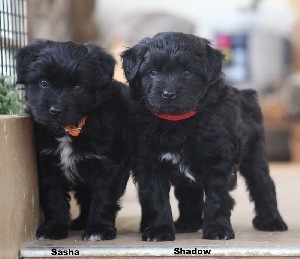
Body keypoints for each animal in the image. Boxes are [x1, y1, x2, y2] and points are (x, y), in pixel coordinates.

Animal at [15, 40, 129, 242]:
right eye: (43, 82)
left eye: (78, 87)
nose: (56, 110)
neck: (69, 130)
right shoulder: (47, 163)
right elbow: (53, 196)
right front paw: (54, 228)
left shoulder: (109, 163)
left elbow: (104, 195)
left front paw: (99, 229)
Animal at [120, 32, 288, 242]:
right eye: (153, 72)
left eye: (187, 72)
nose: (168, 94)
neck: (177, 122)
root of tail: (245, 93)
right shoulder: (149, 163)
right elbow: (156, 198)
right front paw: (159, 230)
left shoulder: (218, 161)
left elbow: (217, 198)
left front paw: (218, 230)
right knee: (189, 194)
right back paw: (187, 224)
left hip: (254, 153)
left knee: (263, 184)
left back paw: (271, 221)